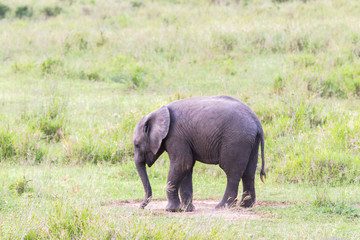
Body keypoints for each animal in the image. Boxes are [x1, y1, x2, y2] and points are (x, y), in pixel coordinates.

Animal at [134, 95, 266, 212]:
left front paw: (172, 210)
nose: (141, 207)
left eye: (136, 144)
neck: (159, 112)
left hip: (236, 140)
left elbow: (182, 164)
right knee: (249, 173)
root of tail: (256, 121)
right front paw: (187, 209)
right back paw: (245, 206)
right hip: (251, 141)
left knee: (232, 172)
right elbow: (187, 167)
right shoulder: (184, 138)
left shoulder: (176, 136)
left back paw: (222, 207)